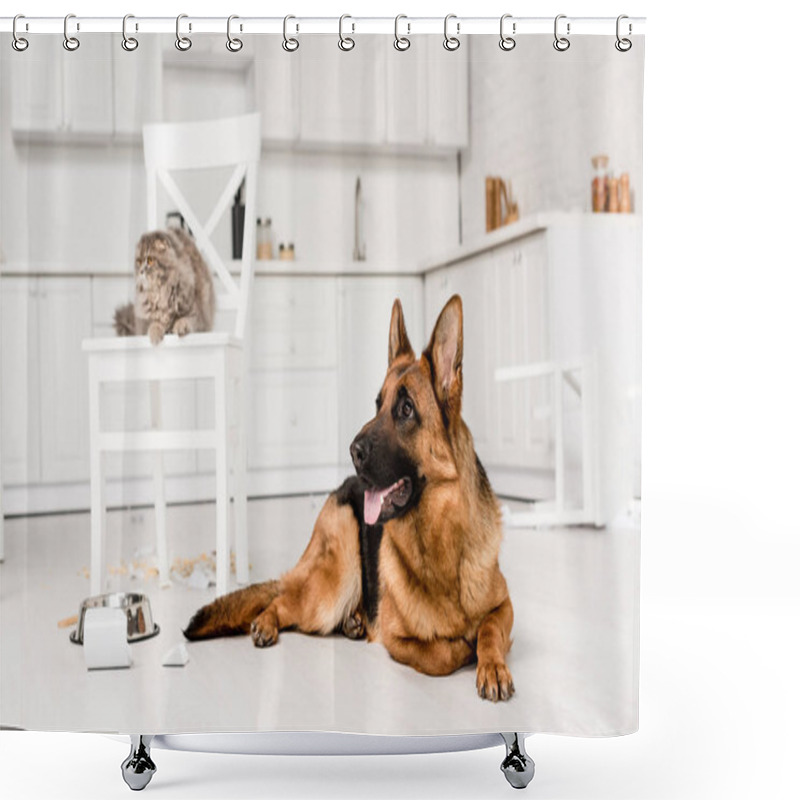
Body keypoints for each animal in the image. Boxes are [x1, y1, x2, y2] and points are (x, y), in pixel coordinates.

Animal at [184, 294, 516, 700]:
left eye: (406, 409)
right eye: (377, 404)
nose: (352, 451)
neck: (443, 538)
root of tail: (341, 487)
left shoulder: (505, 606)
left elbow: (490, 629)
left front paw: (492, 664)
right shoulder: (397, 637)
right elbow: (443, 652)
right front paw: (464, 646)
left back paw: (354, 621)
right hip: (333, 583)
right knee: (283, 599)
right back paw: (268, 622)